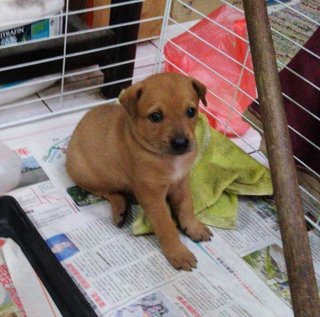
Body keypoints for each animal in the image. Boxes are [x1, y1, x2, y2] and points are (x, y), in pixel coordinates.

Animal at [66, 73, 212, 270]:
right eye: (155, 116)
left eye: (191, 111)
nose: (181, 143)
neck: (167, 158)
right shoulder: (151, 194)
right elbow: (166, 225)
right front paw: (178, 252)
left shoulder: (181, 183)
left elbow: (187, 206)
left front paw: (194, 227)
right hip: (86, 173)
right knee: (107, 191)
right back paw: (120, 208)